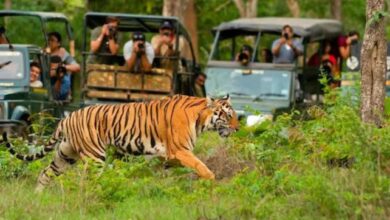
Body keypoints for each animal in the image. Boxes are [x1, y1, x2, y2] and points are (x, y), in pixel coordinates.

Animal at [0, 95, 238, 192]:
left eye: (235, 115)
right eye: (227, 116)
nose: (237, 128)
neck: (200, 119)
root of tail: (67, 118)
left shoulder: (168, 155)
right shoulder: (180, 150)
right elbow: (200, 165)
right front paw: (211, 181)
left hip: (65, 155)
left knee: (44, 173)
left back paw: (38, 197)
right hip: (94, 157)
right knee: (88, 182)